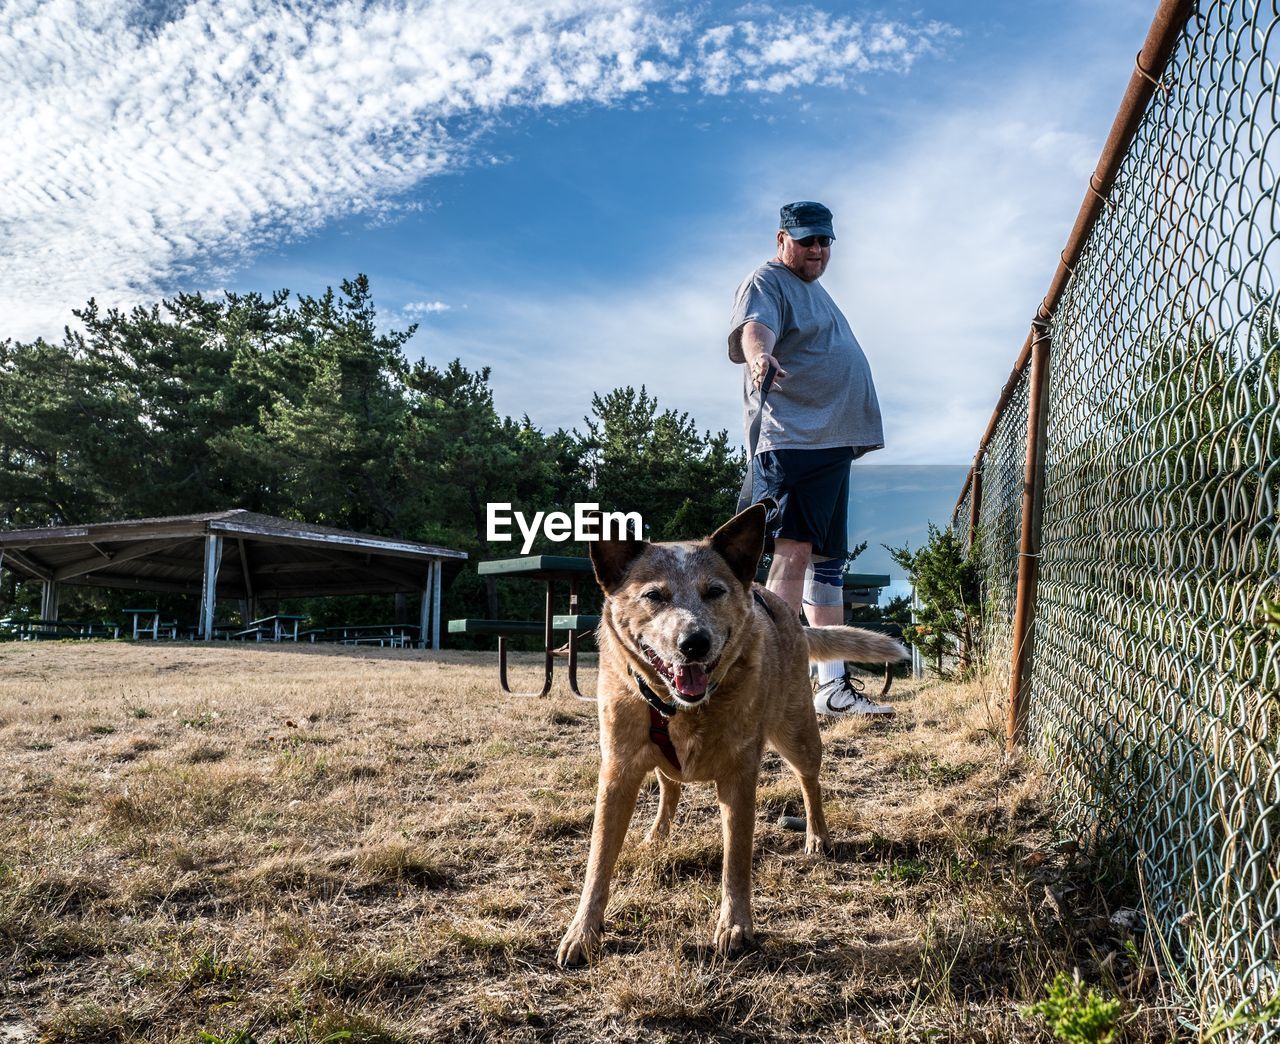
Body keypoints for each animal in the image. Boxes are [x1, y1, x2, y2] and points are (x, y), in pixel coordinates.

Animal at [560, 501, 911, 967]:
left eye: (715, 591)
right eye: (654, 596)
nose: (694, 642)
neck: (683, 708)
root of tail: (782, 607)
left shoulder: (739, 777)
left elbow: (737, 859)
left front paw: (736, 926)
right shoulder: (617, 773)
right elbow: (599, 858)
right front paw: (582, 931)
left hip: (798, 736)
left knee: (810, 783)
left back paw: (817, 835)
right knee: (670, 786)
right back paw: (658, 833)